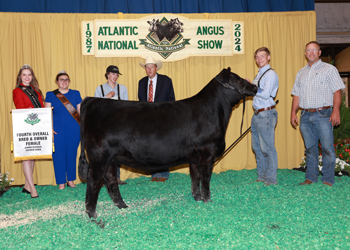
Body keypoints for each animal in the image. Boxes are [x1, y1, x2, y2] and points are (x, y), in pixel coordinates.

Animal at [79, 67, 258, 218]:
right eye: (235, 79)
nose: (255, 87)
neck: (213, 110)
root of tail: (92, 100)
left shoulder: (194, 157)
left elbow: (195, 177)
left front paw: (197, 198)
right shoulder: (207, 153)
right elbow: (205, 178)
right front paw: (208, 201)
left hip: (110, 158)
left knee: (110, 181)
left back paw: (122, 206)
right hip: (99, 155)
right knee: (94, 180)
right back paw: (92, 214)